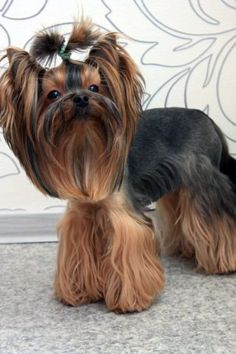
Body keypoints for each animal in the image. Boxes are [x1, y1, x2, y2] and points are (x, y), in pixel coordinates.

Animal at [0, 19, 235, 312]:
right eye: (53, 94)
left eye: (94, 88)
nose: (80, 98)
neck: (84, 146)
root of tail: (208, 119)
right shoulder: (81, 215)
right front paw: (80, 293)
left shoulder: (123, 215)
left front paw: (130, 300)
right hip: (179, 183)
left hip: (201, 178)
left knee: (215, 217)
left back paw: (223, 262)